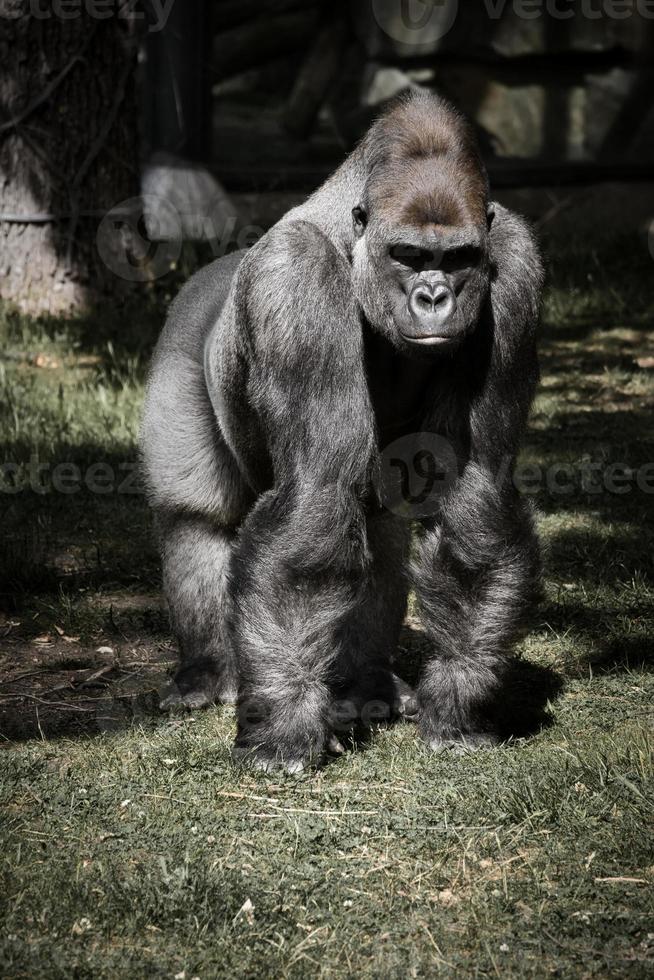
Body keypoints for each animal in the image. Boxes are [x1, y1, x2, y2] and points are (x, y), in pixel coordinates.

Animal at [141, 92, 544, 768]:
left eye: (459, 259)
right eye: (409, 256)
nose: (434, 297)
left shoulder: (514, 266)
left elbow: (476, 491)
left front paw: (458, 700)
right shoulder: (295, 278)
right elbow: (315, 499)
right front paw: (283, 726)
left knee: (377, 531)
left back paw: (365, 684)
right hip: (178, 349)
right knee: (199, 516)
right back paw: (206, 671)